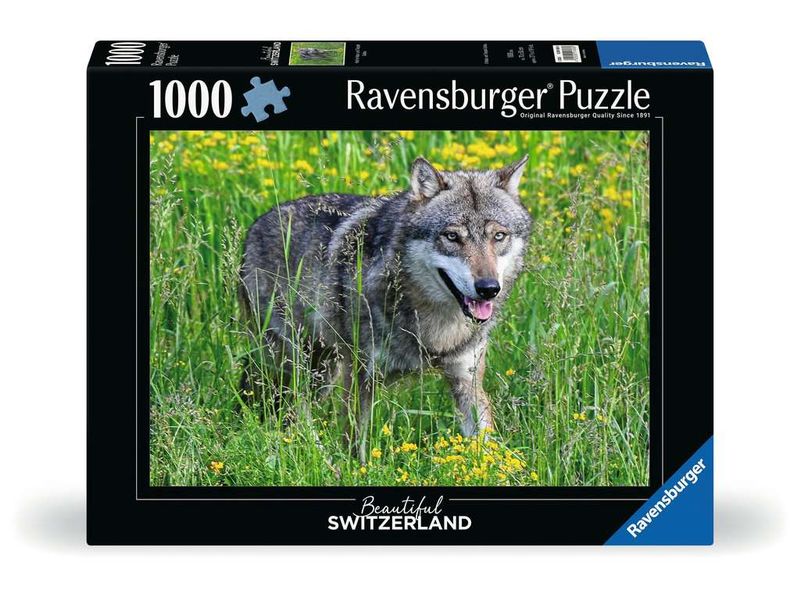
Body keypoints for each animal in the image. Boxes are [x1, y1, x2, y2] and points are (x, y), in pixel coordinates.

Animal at [239, 155, 531, 461]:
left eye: (498, 236)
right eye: (452, 237)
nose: (488, 288)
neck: (436, 326)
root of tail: (254, 227)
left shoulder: (467, 380)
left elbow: (486, 446)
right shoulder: (360, 377)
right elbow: (354, 442)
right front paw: (355, 469)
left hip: (323, 372)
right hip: (299, 366)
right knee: (290, 409)